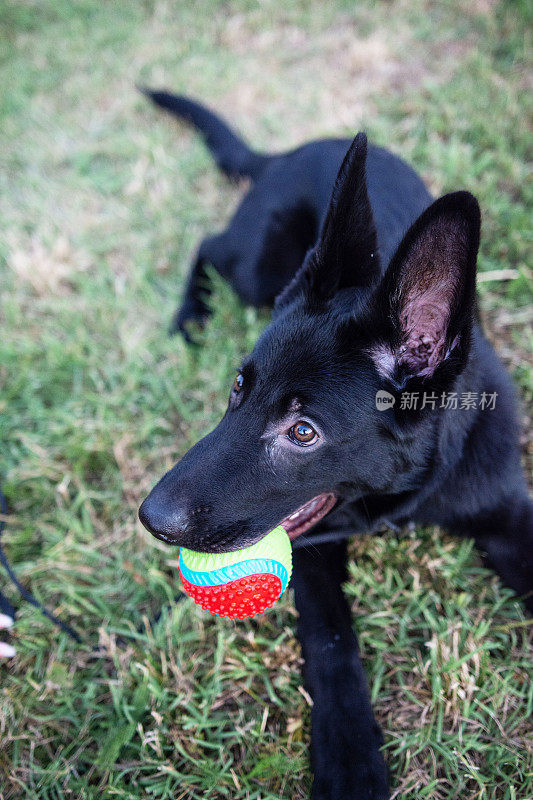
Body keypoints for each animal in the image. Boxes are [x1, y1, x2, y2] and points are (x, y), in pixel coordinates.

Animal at [139, 92, 528, 800]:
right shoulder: (313, 551)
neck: (406, 496)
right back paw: (189, 317)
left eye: (303, 432)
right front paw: (349, 756)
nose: (151, 519)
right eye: (237, 387)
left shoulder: (509, 513)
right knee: (209, 245)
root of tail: (293, 149)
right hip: (257, 266)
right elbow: (330, 644)